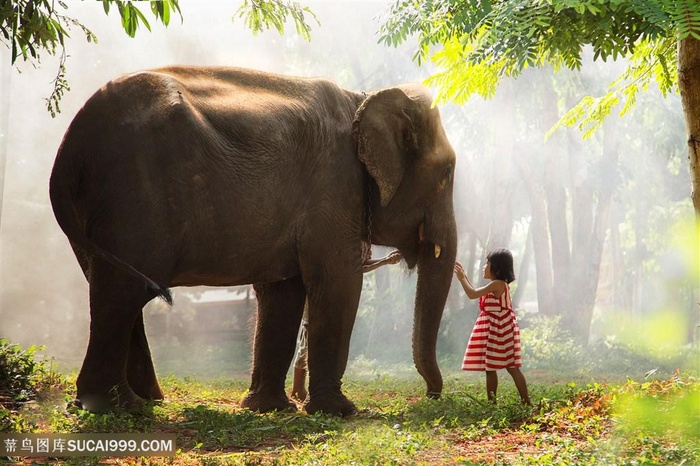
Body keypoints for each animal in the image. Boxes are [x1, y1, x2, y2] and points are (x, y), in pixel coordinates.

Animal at [46, 64, 456, 416]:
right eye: (447, 174)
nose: (431, 395)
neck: (363, 100)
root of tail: (67, 148)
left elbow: (282, 291)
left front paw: (267, 408)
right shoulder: (334, 188)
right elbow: (338, 280)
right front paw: (339, 412)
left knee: (114, 289)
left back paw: (141, 401)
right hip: (132, 197)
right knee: (121, 293)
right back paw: (111, 406)